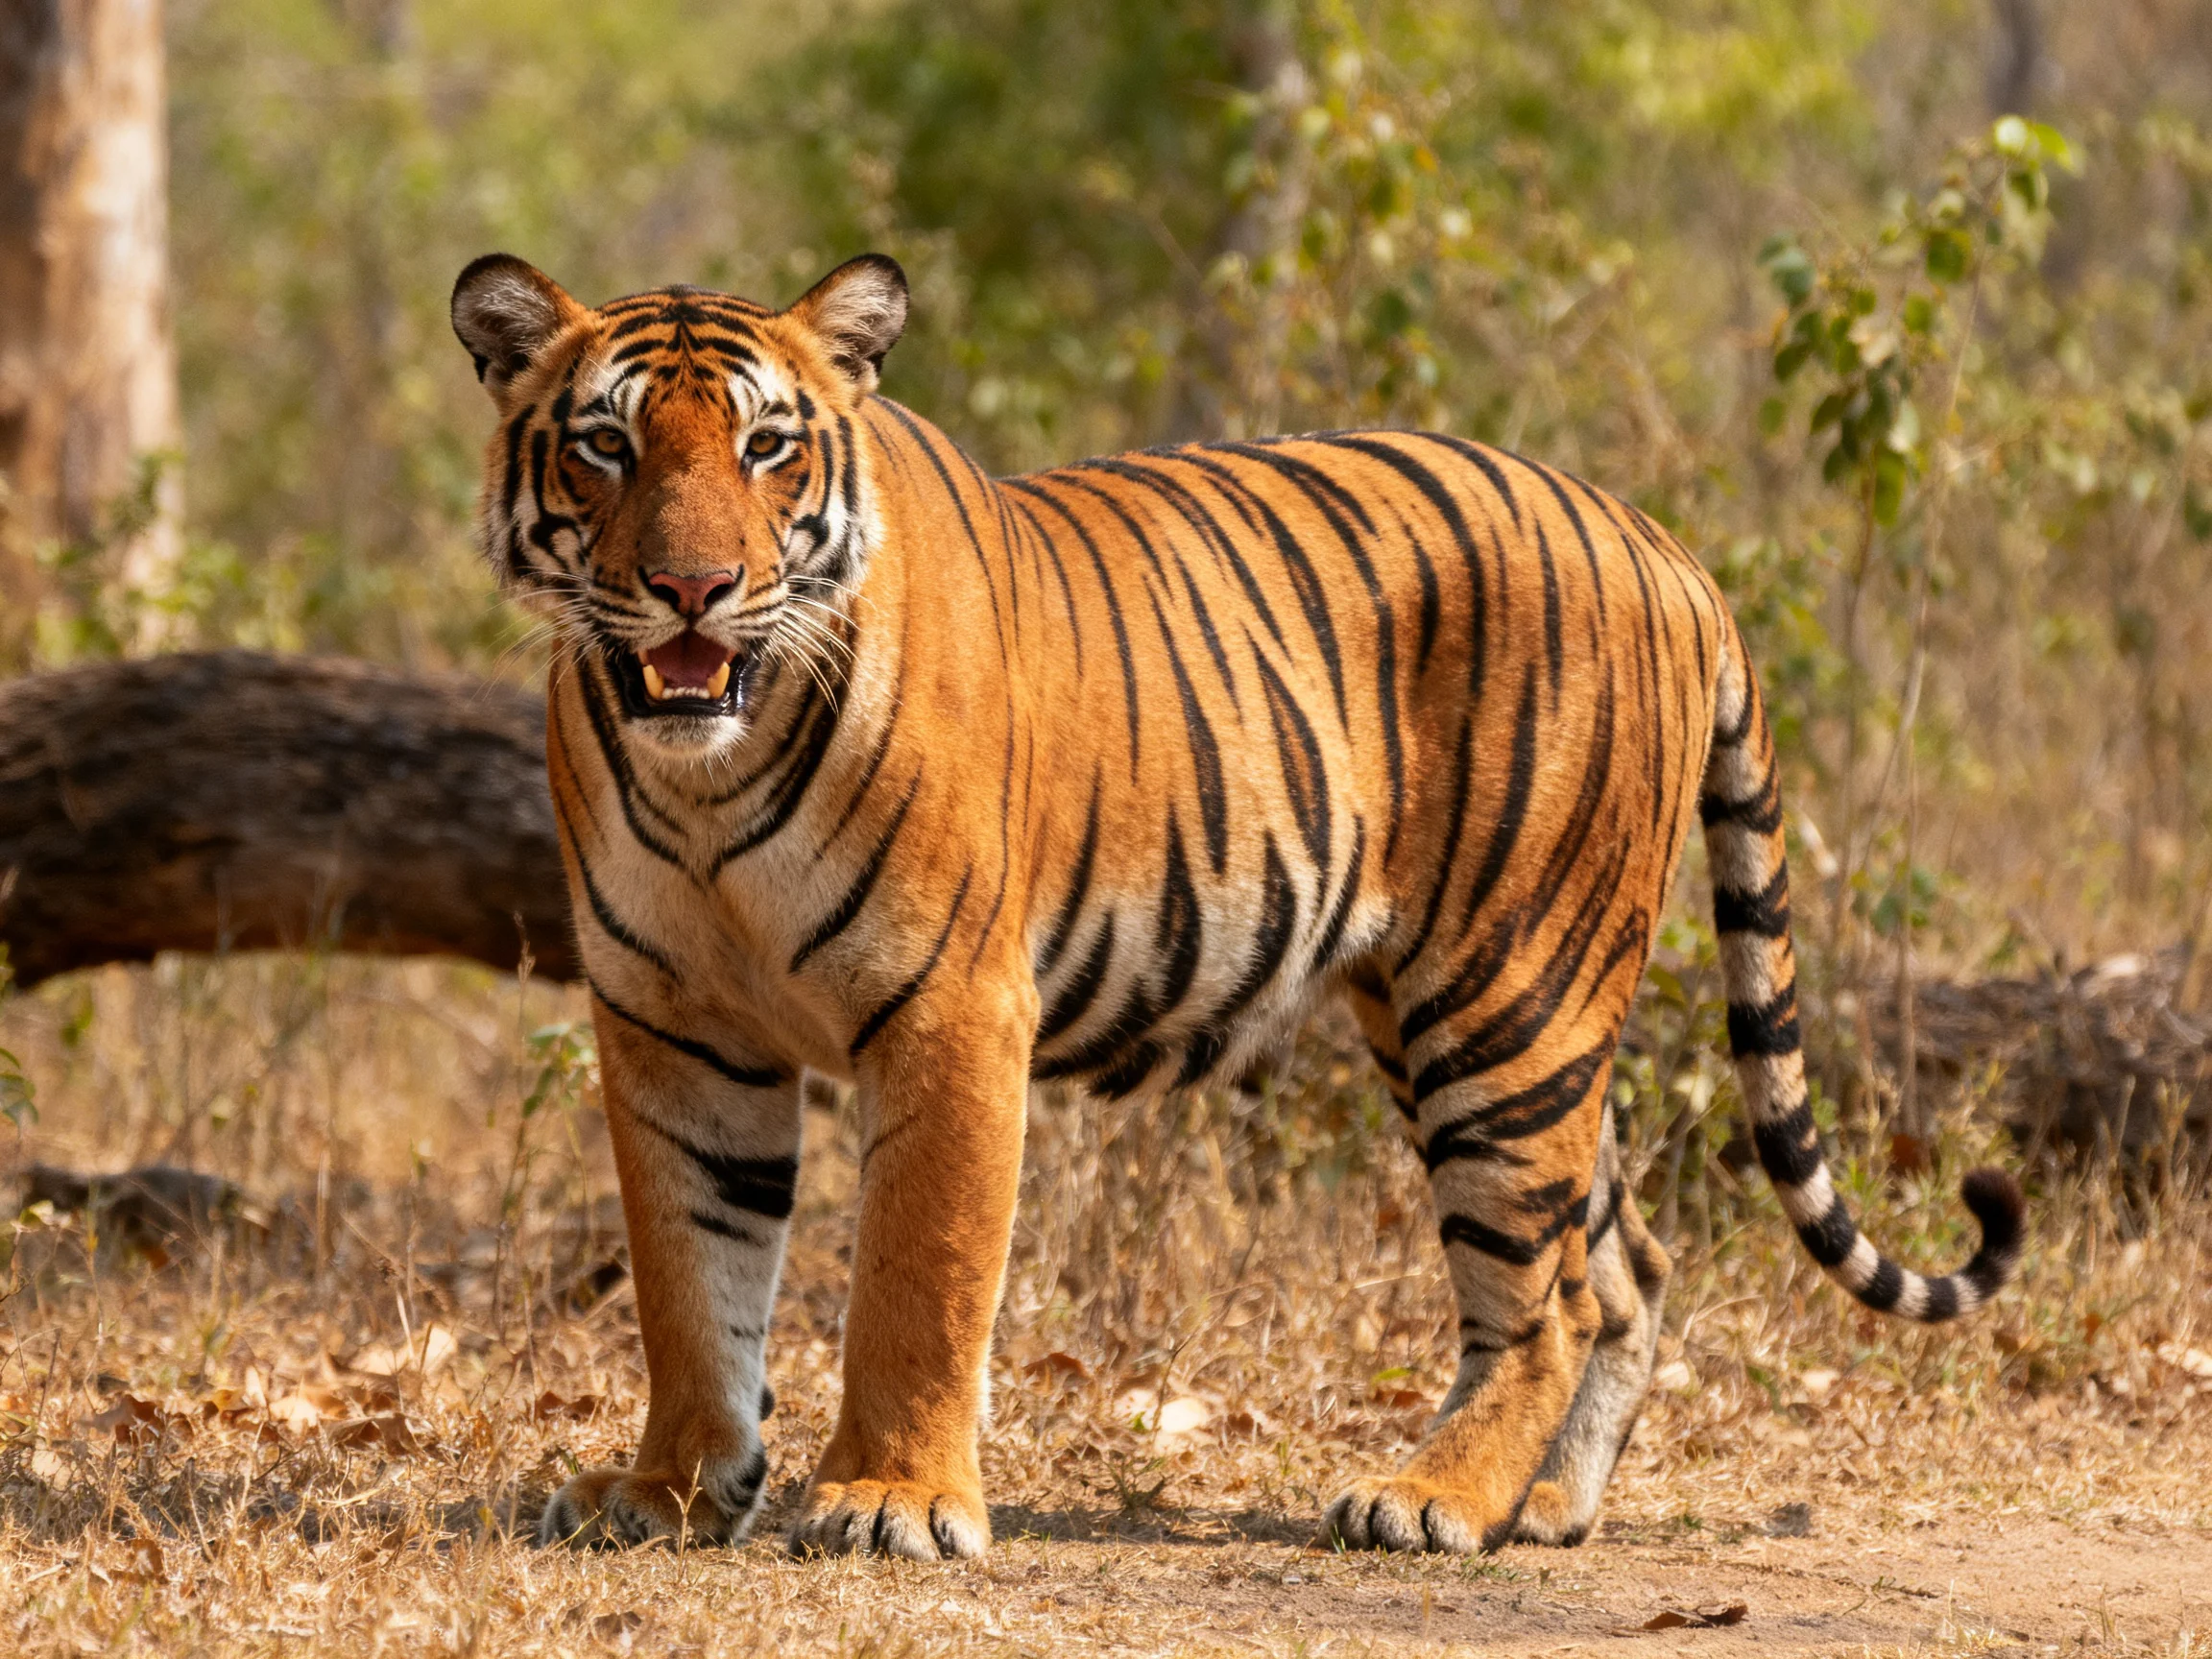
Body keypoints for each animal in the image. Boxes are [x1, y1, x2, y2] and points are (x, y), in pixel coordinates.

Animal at [449, 249, 2023, 1559]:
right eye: (606, 444)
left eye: (768, 447)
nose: (692, 588)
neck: (709, 783)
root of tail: (1660, 540)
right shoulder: (673, 1029)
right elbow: (688, 1280)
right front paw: (668, 1492)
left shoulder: (953, 1011)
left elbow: (917, 1276)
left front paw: (890, 1501)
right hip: (1480, 1010)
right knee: (1623, 1255)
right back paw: (1546, 1508)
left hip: (1508, 994)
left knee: (1552, 1295)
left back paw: (1434, 1500)